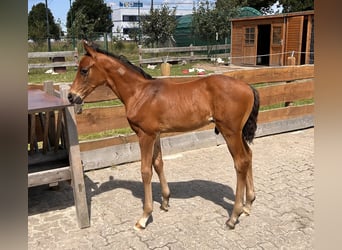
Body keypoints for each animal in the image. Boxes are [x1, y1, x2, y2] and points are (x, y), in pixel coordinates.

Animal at [68, 41, 260, 230]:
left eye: (84, 70)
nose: (71, 96)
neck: (139, 93)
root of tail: (248, 87)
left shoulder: (145, 135)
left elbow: (146, 171)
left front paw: (144, 216)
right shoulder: (156, 134)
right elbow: (158, 163)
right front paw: (165, 201)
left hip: (230, 132)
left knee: (241, 162)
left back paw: (234, 216)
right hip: (238, 133)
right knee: (249, 155)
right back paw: (248, 205)